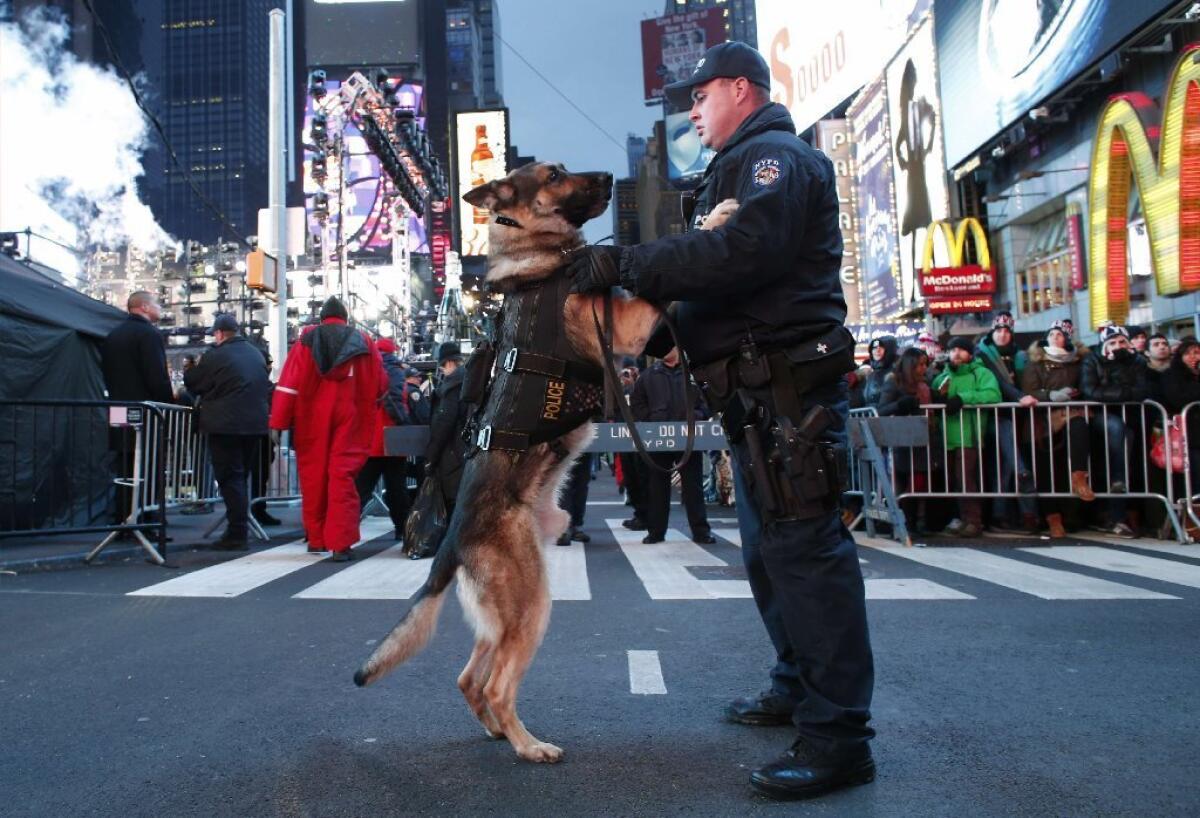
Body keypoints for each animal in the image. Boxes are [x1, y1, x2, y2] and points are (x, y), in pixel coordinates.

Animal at [350, 161, 734, 762]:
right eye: (555, 175)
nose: (606, 178)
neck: (538, 258)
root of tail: (452, 542)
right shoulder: (627, 325)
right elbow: (656, 282)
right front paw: (715, 217)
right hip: (531, 605)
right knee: (494, 685)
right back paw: (528, 745)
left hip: (505, 617)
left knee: (469, 678)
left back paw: (496, 731)